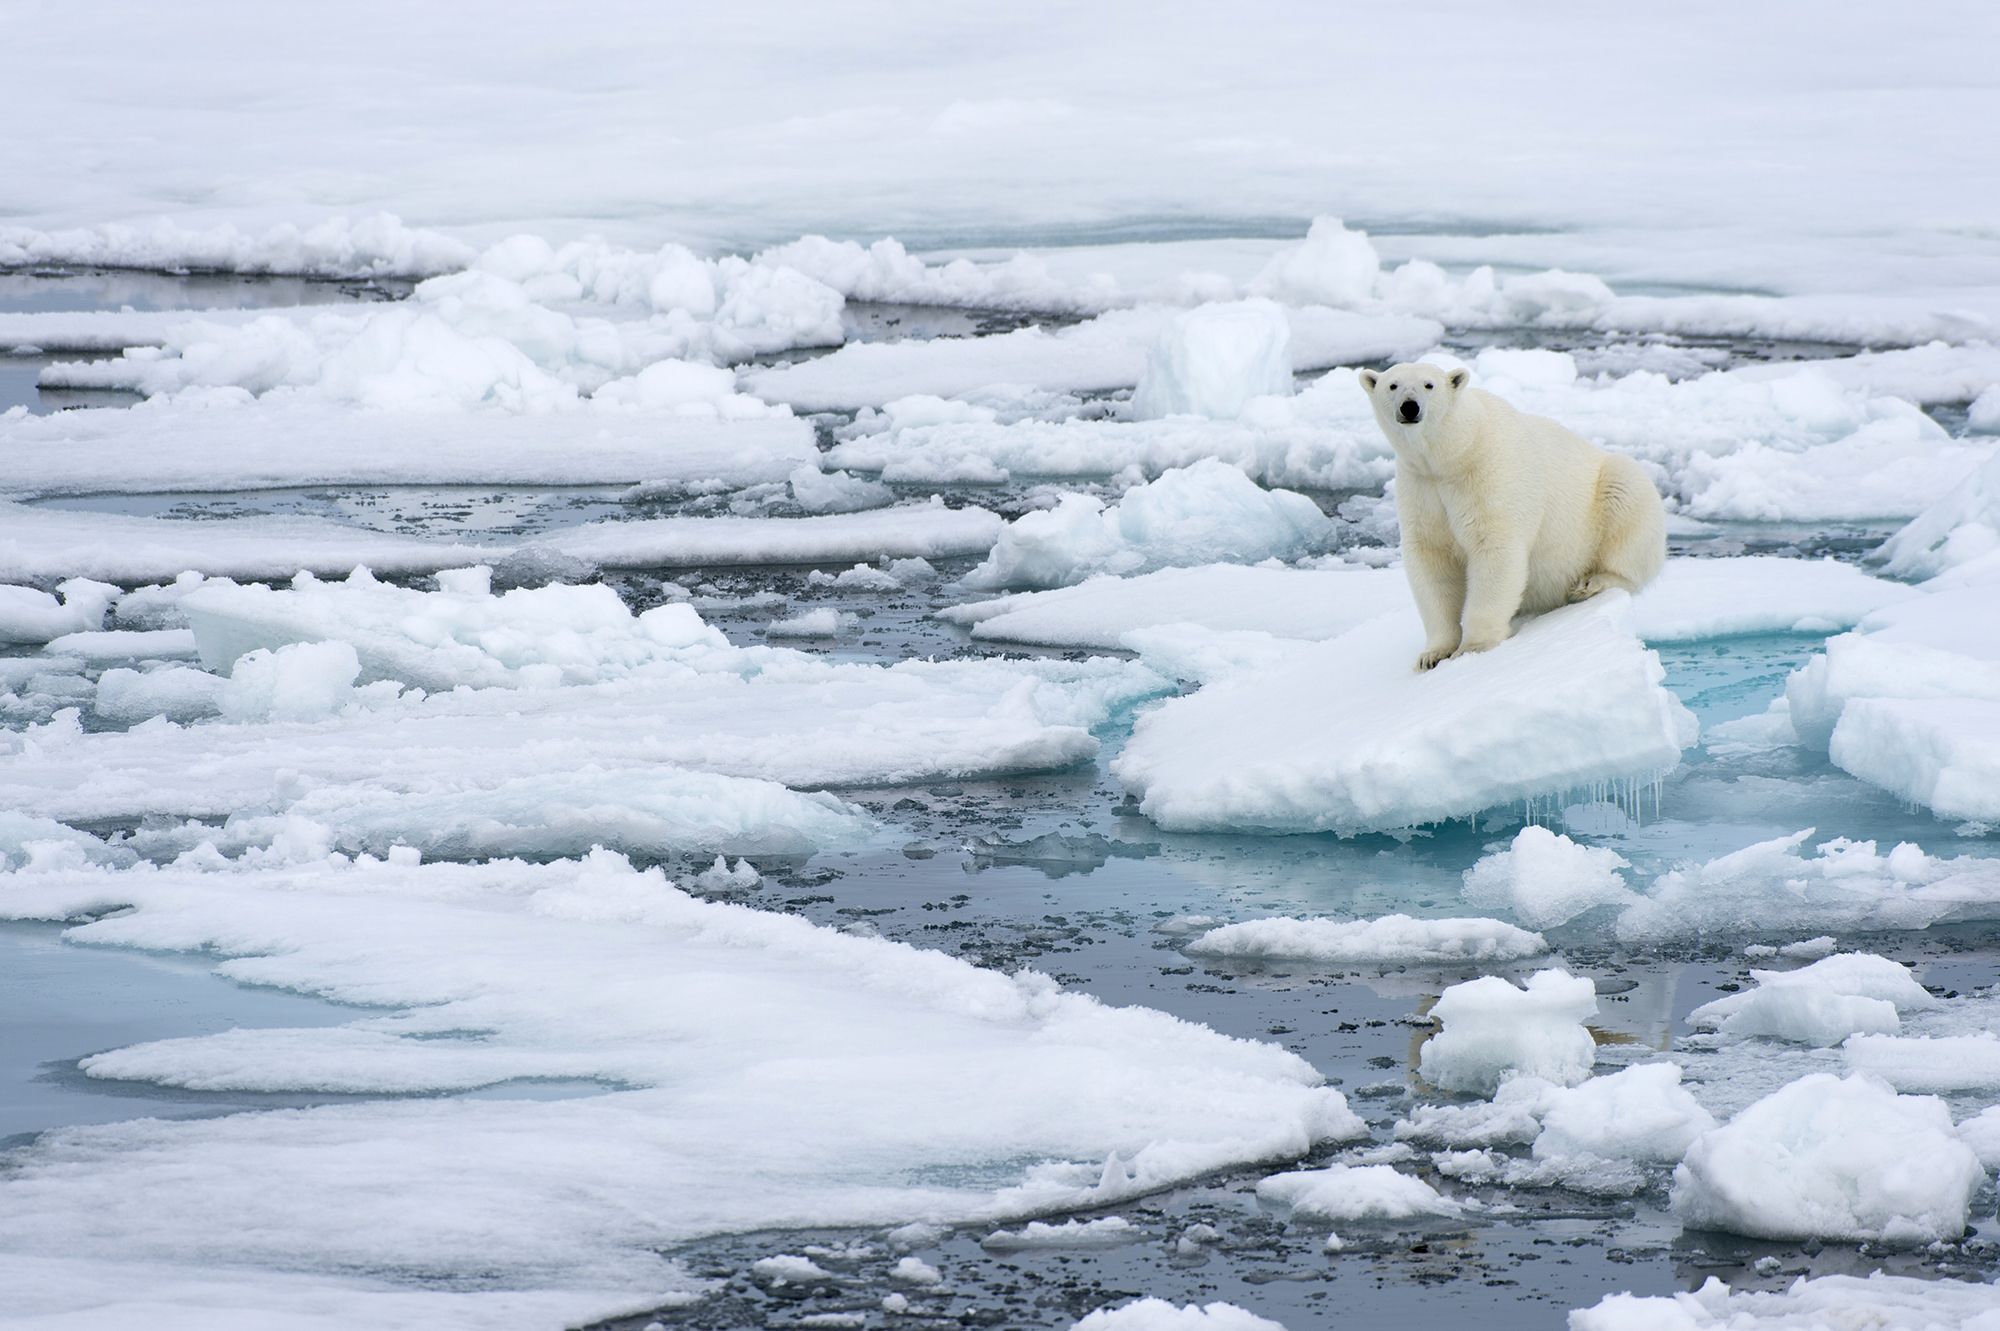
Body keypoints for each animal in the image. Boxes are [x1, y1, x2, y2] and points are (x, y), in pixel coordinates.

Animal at [1358, 362, 1666, 670]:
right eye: (1393, 385)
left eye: (1428, 385)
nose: (1410, 407)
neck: (1452, 454)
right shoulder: (1422, 488)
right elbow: (1432, 560)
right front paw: (1433, 655)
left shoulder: (1486, 475)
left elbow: (1493, 549)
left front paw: (1473, 647)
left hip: (1607, 493)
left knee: (1627, 506)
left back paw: (1591, 583)